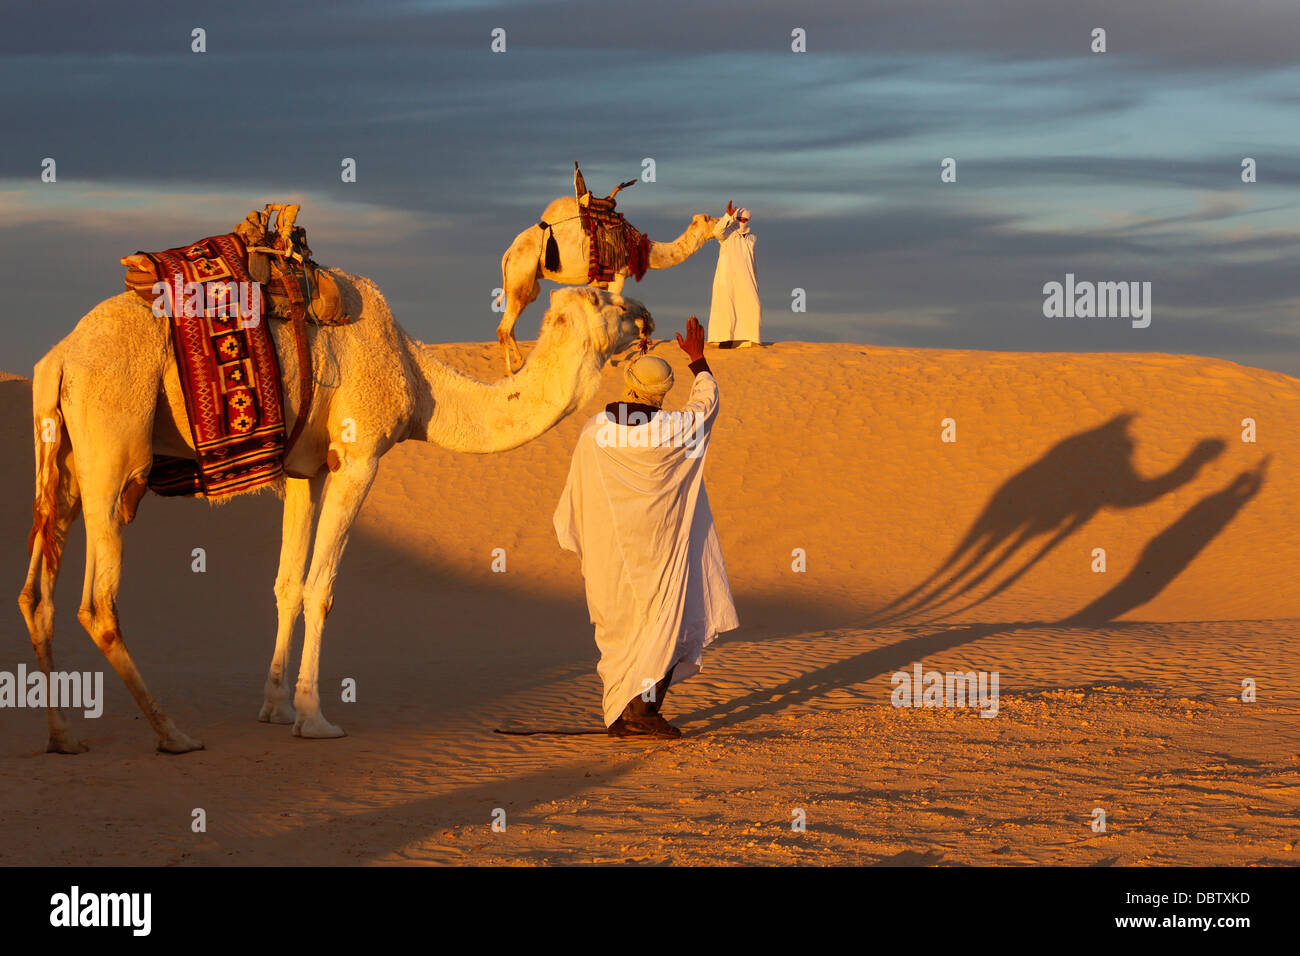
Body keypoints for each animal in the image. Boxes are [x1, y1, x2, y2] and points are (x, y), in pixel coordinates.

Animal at [19, 274, 650, 754]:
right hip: (113, 452)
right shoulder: (359, 456)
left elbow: (286, 583)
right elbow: (320, 587)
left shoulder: (306, 469)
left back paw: (62, 736)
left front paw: (274, 706)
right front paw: (314, 717)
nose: (646, 316)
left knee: (35, 593)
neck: (418, 379)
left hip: (61, 462)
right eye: (606, 300)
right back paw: (172, 733)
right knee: (98, 603)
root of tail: (58, 358)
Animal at [499, 197, 722, 374]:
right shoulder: (618, 275)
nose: (723, 221)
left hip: (526, 280)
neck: (639, 247)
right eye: (710, 219)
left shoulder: (599, 281)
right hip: (522, 270)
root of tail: (509, 251)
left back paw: (520, 360)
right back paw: (510, 372)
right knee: (504, 327)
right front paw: (609, 363)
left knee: (513, 319)